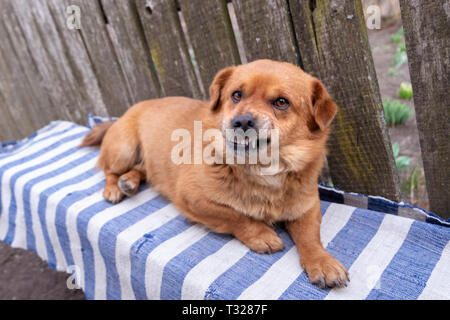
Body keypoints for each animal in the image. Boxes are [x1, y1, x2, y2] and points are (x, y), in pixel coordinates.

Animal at [81, 59, 348, 288]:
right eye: (236, 95)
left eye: (281, 102)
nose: (241, 121)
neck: (261, 168)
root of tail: (131, 109)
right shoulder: (192, 198)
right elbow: (235, 216)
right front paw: (261, 234)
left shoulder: (307, 206)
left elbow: (310, 236)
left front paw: (322, 262)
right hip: (124, 149)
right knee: (108, 169)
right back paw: (114, 187)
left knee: (141, 169)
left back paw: (129, 181)